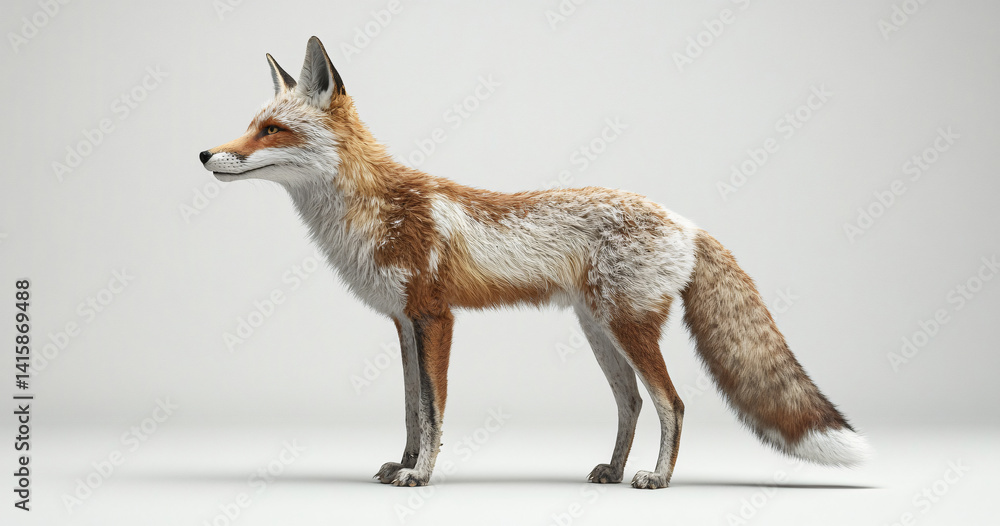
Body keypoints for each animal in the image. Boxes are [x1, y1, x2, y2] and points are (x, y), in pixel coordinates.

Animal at [199, 36, 870, 489]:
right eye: (251, 125)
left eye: (272, 129)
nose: (204, 154)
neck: (375, 210)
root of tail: (687, 222)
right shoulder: (404, 324)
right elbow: (412, 410)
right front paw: (405, 464)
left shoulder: (436, 318)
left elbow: (434, 410)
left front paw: (423, 476)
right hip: (600, 331)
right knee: (631, 403)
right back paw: (614, 470)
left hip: (628, 328)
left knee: (672, 404)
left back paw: (656, 479)